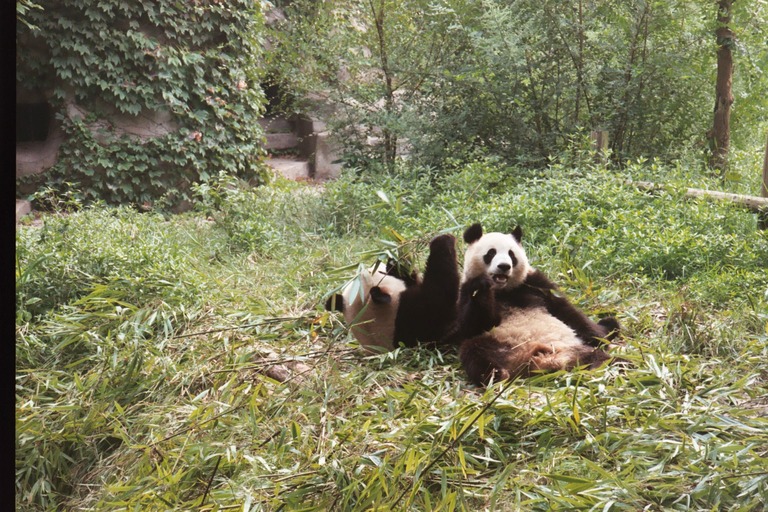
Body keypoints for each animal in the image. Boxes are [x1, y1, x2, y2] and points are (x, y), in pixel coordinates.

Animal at [325, 233, 460, 351]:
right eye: (380, 271)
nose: (385, 261)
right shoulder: (414, 320)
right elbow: (441, 290)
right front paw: (442, 239)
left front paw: (396, 262)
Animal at [450, 223, 620, 386]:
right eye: (491, 253)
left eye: (511, 254)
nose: (504, 266)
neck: (503, 290)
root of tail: (543, 359)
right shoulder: (464, 291)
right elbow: (471, 325)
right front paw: (482, 287)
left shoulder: (535, 283)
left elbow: (566, 310)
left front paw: (605, 330)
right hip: (499, 343)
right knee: (474, 351)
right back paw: (497, 375)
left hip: (575, 349)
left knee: (606, 360)